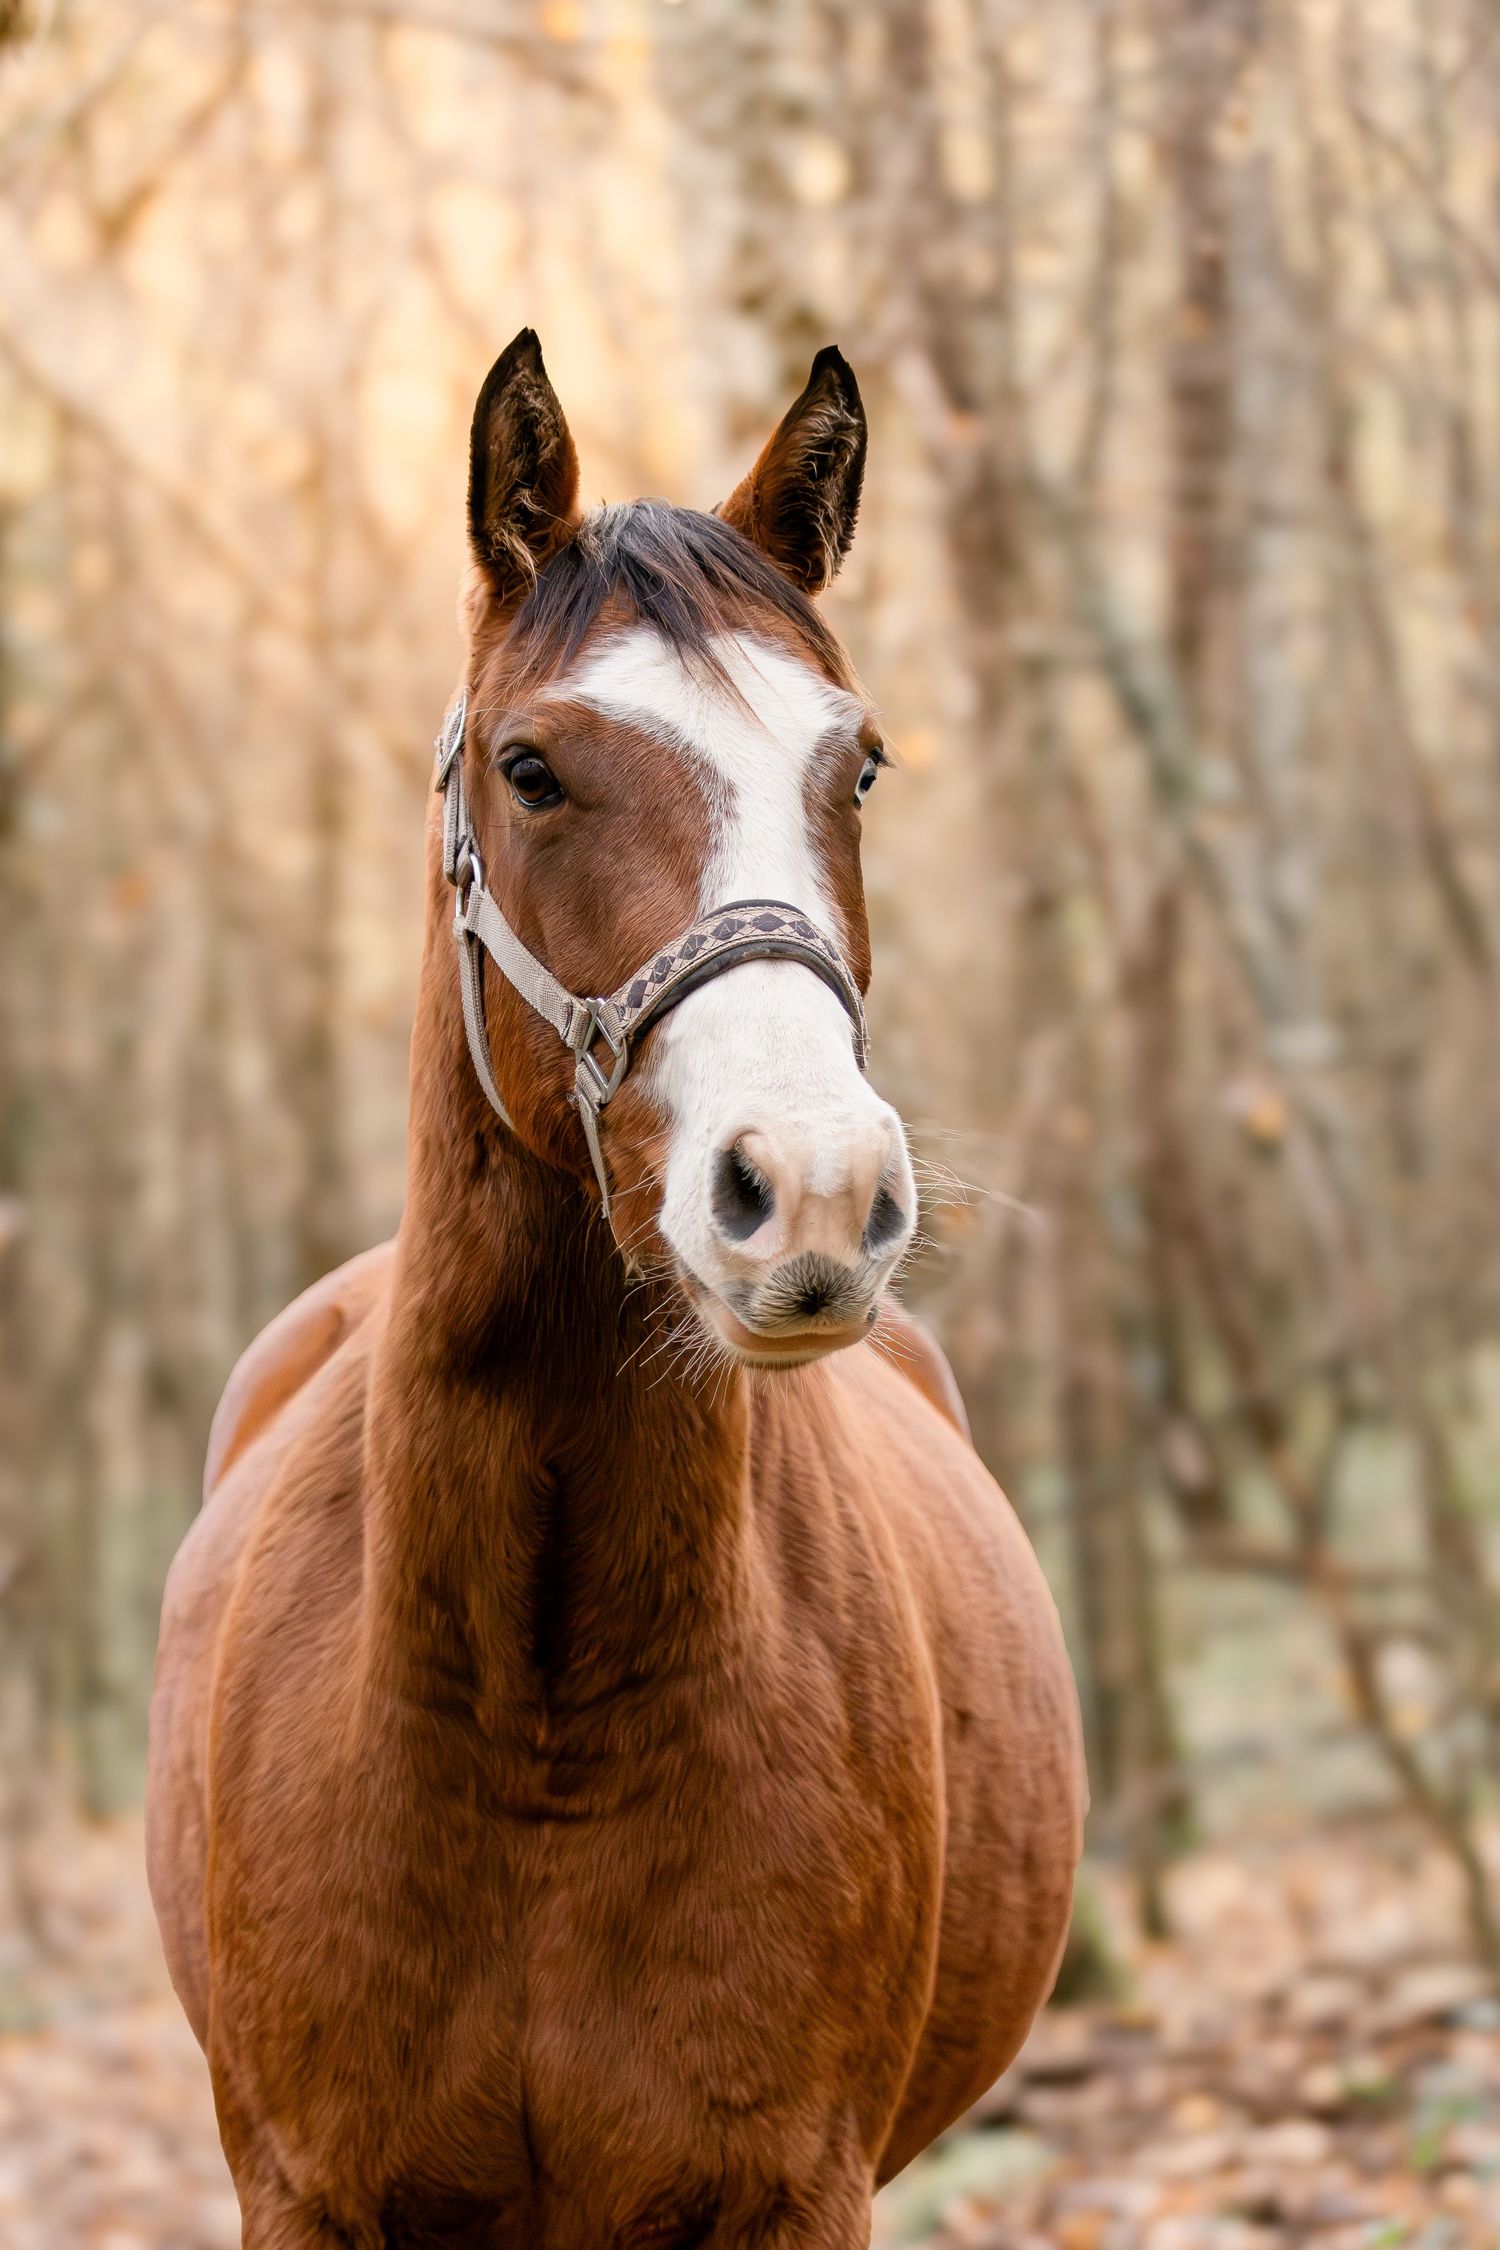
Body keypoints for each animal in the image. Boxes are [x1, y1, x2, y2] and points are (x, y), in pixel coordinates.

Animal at [146, 331, 1085, 2250]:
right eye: (532, 767)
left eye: (859, 767)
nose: (813, 1189)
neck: (531, 1717)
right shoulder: (304, 2192)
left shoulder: (794, 2190)